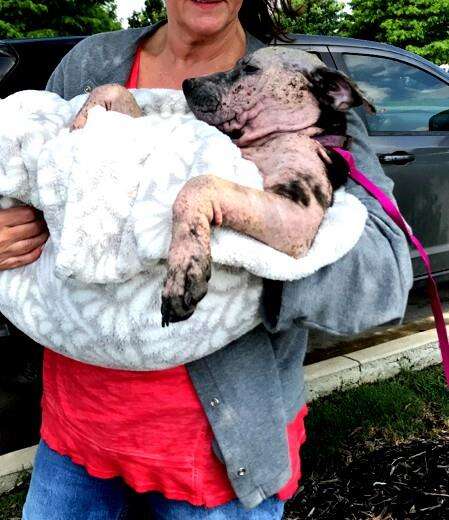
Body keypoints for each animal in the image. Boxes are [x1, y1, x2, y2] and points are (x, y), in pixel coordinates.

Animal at [70, 47, 372, 324]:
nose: (187, 83)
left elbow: (200, 183)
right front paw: (81, 121)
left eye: (250, 69)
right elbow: (118, 93)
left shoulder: (297, 216)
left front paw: (185, 268)